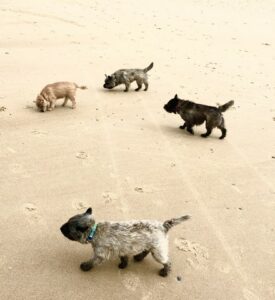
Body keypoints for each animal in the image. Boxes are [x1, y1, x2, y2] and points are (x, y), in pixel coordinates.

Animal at [60, 209, 191, 276]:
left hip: (158, 252)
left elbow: (92, 261)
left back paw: (164, 272)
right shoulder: (122, 250)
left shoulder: (100, 254)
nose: (60, 228)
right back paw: (139, 257)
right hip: (152, 246)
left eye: (67, 228)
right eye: (67, 223)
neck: (95, 230)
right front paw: (123, 265)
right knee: (146, 250)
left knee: (167, 262)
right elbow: (124, 258)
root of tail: (163, 225)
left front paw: (85, 266)